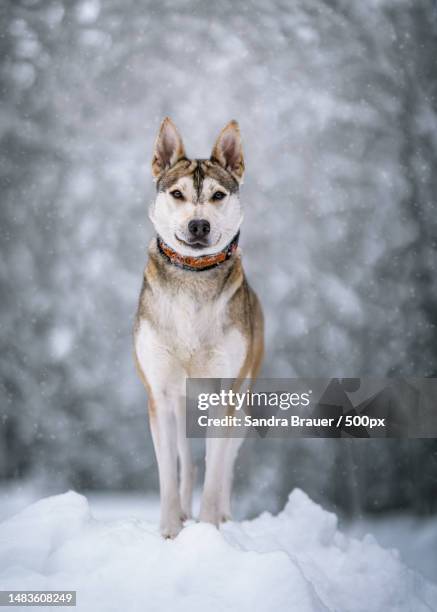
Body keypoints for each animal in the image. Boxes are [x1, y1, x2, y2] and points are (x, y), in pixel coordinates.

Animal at [133, 117, 262, 536]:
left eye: (219, 195)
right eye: (177, 193)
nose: (199, 224)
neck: (194, 275)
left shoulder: (225, 393)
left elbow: (216, 466)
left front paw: (209, 531)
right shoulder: (160, 393)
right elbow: (169, 472)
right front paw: (170, 530)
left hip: (243, 401)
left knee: (224, 464)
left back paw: (222, 515)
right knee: (184, 459)